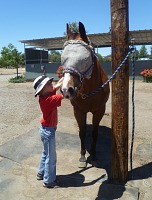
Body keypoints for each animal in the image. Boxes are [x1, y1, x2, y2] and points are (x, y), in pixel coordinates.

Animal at [61, 21, 110, 167]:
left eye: (85, 58)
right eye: (63, 58)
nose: (66, 90)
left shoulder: (99, 110)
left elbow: (95, 133)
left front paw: (93, 156)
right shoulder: (78, 111)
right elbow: (82, 132)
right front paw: (83, 157)